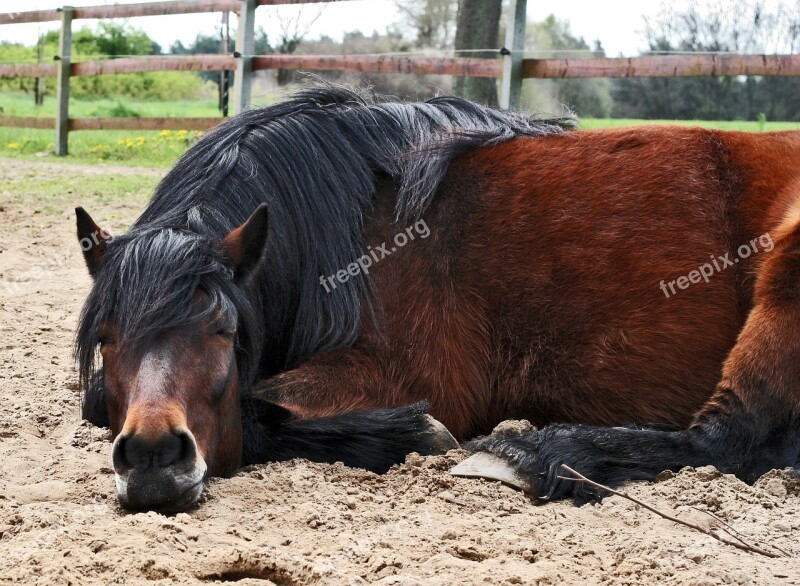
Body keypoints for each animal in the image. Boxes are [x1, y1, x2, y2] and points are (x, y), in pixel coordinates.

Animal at [78, 86, 800, 512]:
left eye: (226, 332)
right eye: (106, 337)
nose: (152, 460)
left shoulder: (402, 375)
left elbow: (257, 407)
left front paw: (408, 433)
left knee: (729, 438)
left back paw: (537, 455)